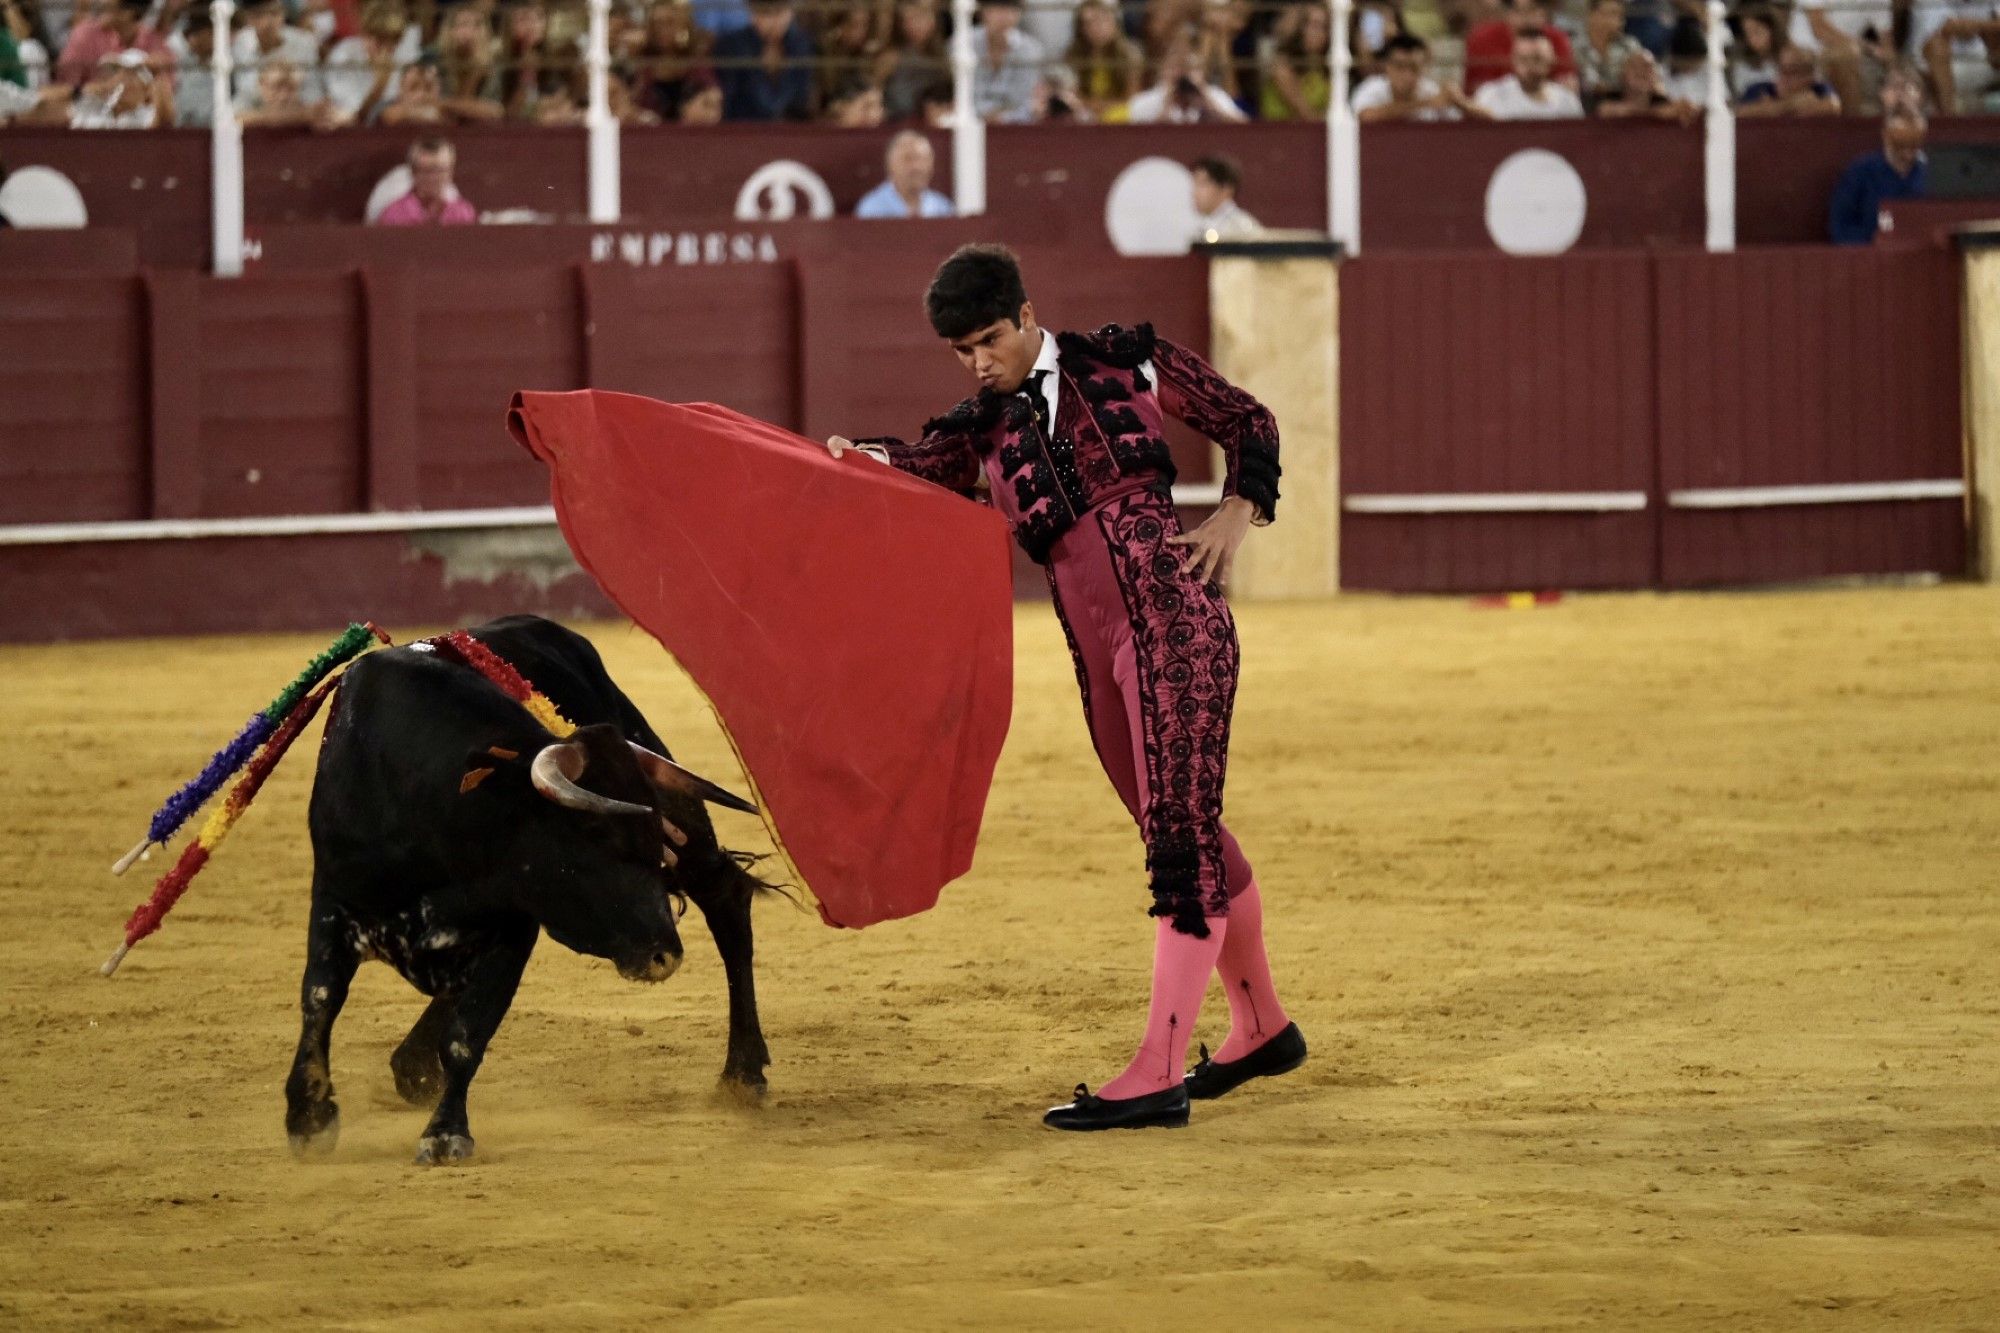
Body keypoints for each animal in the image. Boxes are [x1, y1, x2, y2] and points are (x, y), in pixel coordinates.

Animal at [290, 616, 772, 1160]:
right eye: (596, 831)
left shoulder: (513, 929)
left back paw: (743, 1073)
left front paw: (446, 1133)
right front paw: (308, 1117)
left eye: (655, 840)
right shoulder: (332, 900)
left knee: (726, 896)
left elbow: (467, 1034)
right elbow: (321, 998)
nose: (663, 955)